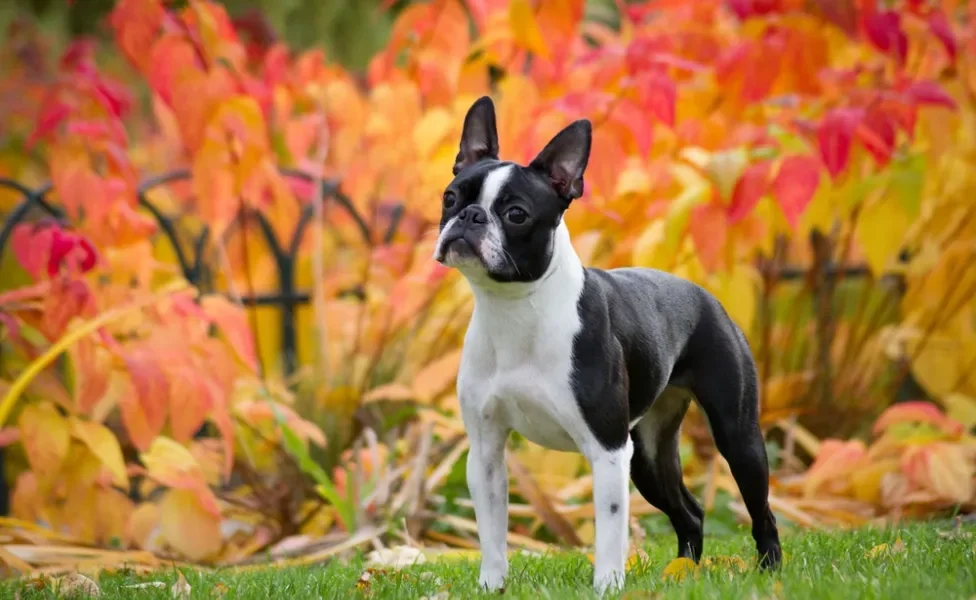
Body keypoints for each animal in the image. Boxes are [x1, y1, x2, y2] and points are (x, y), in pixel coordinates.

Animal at [430, 96, 780, 592]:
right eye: (451, 197)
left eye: (516, 214)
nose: (470, 216)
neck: (515, 308)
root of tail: (705, 294)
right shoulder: (485, 452)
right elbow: (492, 530)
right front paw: (492, 586)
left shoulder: (608, 450)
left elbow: (609, 528)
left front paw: (608, 586)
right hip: (649, 454)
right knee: (689, 512)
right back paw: (684, 572)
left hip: (736, 437)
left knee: (761, 511)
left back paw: (769, 571)